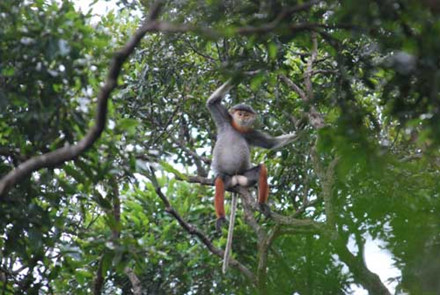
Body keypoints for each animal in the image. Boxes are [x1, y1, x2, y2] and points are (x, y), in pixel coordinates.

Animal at [207, 80, 298, 231]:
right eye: (240, 113)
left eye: (247, 115)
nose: (243, 117)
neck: (238, 128)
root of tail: (236, 176)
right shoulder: (224, 119)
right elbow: (212, 101)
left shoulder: (251, 133)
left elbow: (270, 144)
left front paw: (302, 132)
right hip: (228, 179)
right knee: (220, 179)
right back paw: (220, 217)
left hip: (246, 177)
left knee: (261, 169)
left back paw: (262, 204)